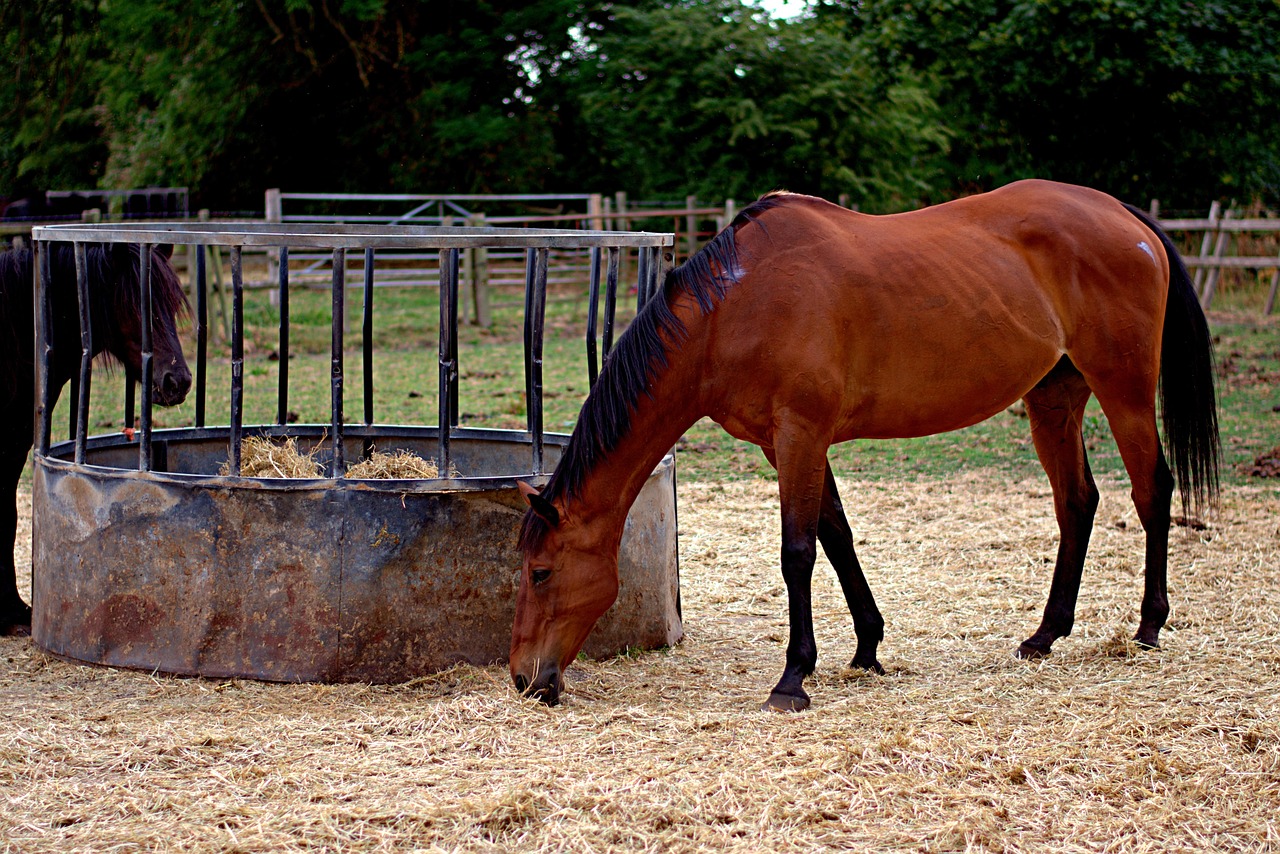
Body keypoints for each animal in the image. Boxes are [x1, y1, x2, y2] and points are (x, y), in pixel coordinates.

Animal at [509, 181, 1218, 717]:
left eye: (540, 572)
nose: (524, 678)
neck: (735, 307)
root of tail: (1123, 214)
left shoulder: (800, 433)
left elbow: (798, 552)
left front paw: (792, 679)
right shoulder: (787, 444)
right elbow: (837, 537)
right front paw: (866, 649)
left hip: (1124, 389)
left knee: (1152, 490)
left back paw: (1149, 625)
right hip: (1054, 399)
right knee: (1077, 503)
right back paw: (1045, 635)